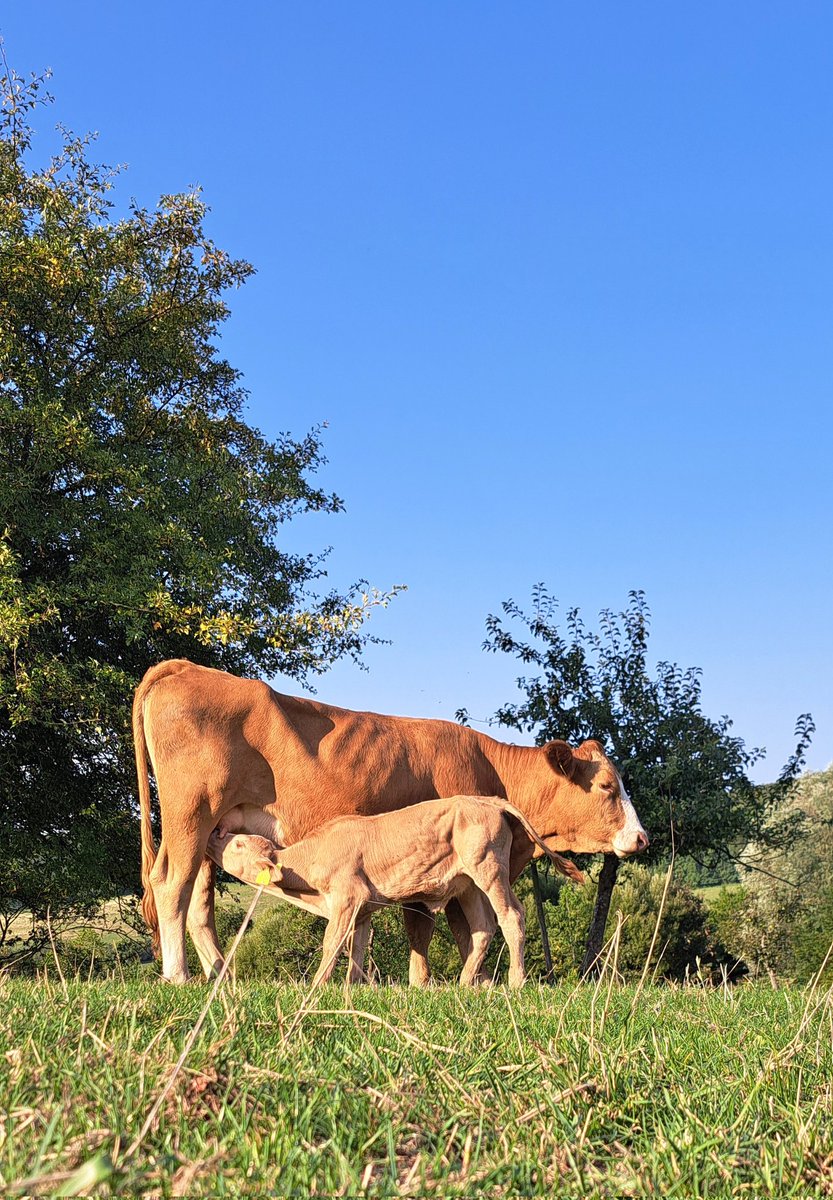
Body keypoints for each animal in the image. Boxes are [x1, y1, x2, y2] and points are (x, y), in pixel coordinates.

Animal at [205, 796, 586, 987]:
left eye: (238, 843)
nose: (213, 833)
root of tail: (489, 801)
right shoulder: (362, 908)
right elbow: (356, 948)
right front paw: (352, 987)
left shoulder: (348, 895)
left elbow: (332, 943)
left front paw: (316, 985)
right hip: (469, 882)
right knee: (482, 927)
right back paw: (465, 983)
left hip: (489, 869)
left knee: (511, 916)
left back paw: (516, 981)